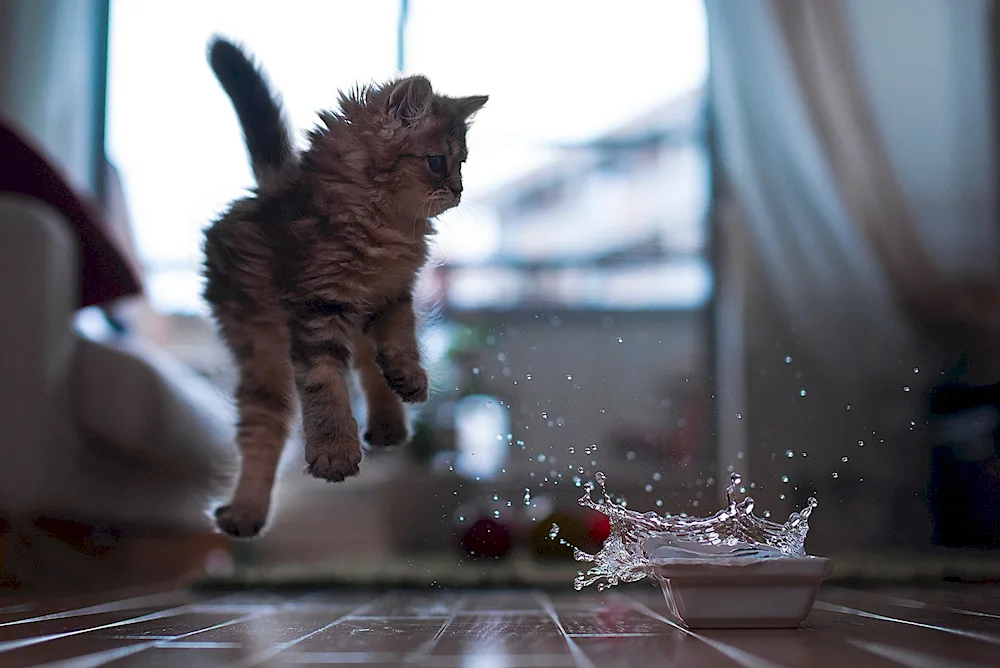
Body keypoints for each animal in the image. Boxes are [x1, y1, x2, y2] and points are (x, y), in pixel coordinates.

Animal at [202, 35, 484, 536]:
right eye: (437, 163)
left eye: (462, 164)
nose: (458, 189)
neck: (384, 224)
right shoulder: (317, 306)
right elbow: (325, 383)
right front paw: (334, 452)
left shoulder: (393, 294)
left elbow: (401, 340)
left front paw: (410, 376)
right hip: (260, 351)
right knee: (264, 427)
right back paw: (246, 511)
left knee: (368, 365)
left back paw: (390, 422)